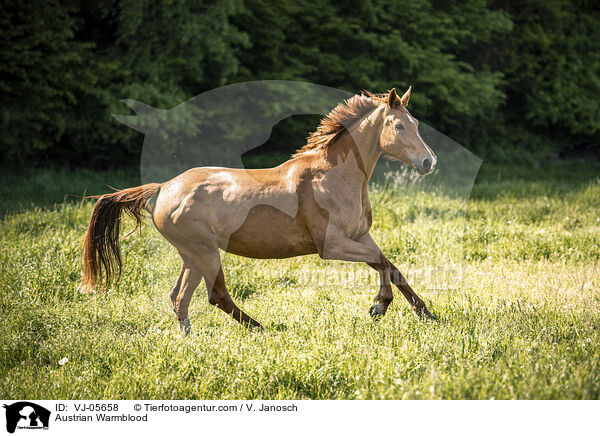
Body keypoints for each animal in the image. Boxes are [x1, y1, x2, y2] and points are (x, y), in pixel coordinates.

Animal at [81, 88, 436, 334]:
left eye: (416, 123)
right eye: (398, 126)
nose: (428, 162)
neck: (334, 175)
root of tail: (164, 187)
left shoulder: (359, 235)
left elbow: (390, 265)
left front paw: (425, 313)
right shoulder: (331, 245)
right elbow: (381, 262)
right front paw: (380, 307)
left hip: (191, 255)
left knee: (179, 297)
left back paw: (190, 338)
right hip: (205, 250)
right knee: (216, 295)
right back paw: (262, 328)